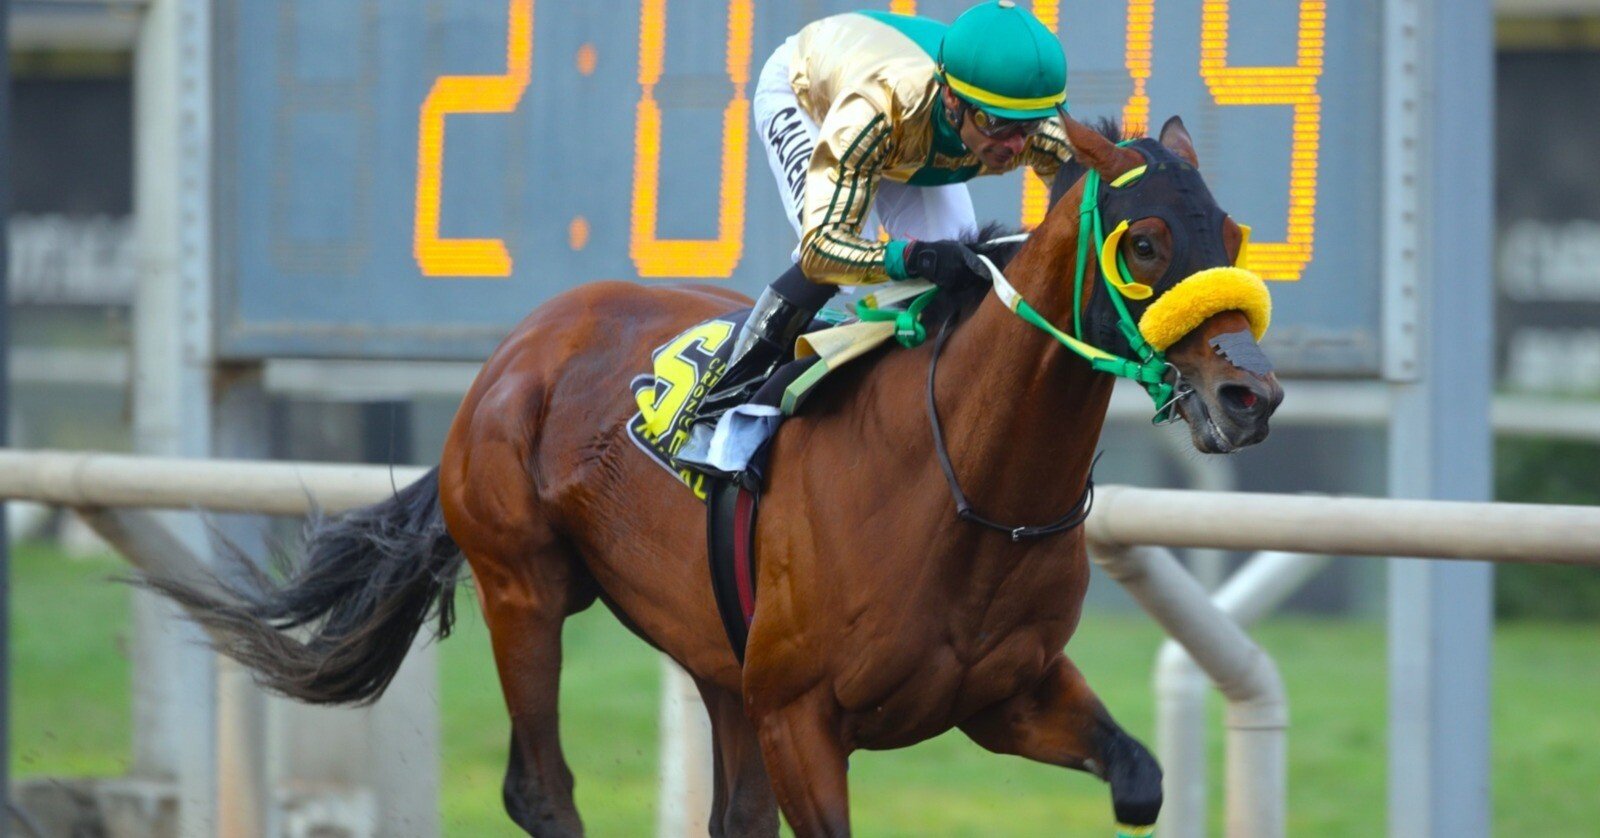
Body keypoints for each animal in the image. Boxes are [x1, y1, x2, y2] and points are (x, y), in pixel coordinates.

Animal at [151, 112, 1282, 836]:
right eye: (1144, 241)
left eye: (1233, 233)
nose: (1251, 397)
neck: (971, 491)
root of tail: (523, 343)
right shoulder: (804, 719)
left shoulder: (1007, 692)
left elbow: (1139, 784)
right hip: (526, 588)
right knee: (539, 788)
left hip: (718, 663)